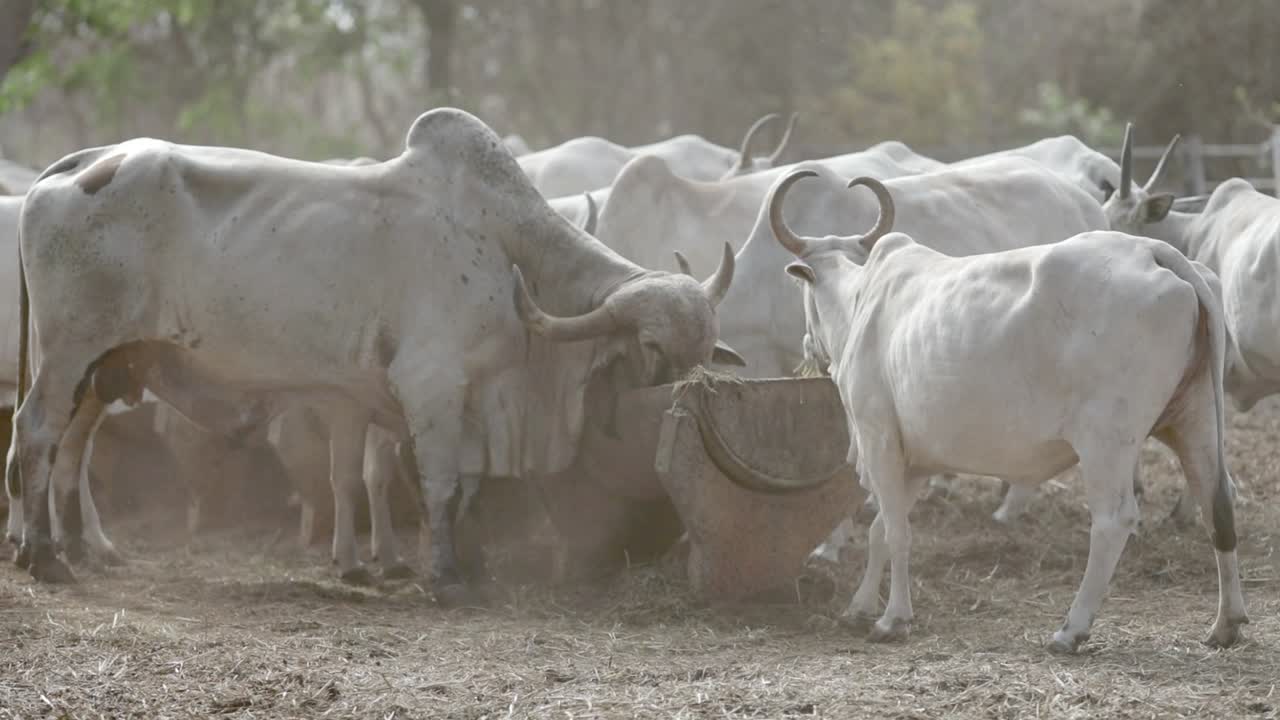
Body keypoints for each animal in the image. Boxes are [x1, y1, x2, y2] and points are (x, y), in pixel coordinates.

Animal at [5, 109, 739, 606]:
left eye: (707, 346)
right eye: (653, 348)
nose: (693, 405)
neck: (506, 246)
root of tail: (77, 166)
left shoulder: (444, 400)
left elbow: (441, 484)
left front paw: (452, 565)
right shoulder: (431, 384)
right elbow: (439, 484)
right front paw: (446, 579)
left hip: (98, 367)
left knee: (62, 447)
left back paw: (59, 548)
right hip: (69, 354)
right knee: (36, 435)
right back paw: (45, 558)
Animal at [764, 169, 1247, 652]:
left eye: (803, 290)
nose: (808, 347)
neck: (862, 302)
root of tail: (1154, 252)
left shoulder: (877, 437)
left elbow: (896, 531)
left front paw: (892, 618)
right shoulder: (916, 460)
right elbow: (881, 529)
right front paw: (860, 608)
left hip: (1106, 441)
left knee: (1114, 520)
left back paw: (1070, 629)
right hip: (1196, 419)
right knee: (1218, 505)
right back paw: (1226, 623)